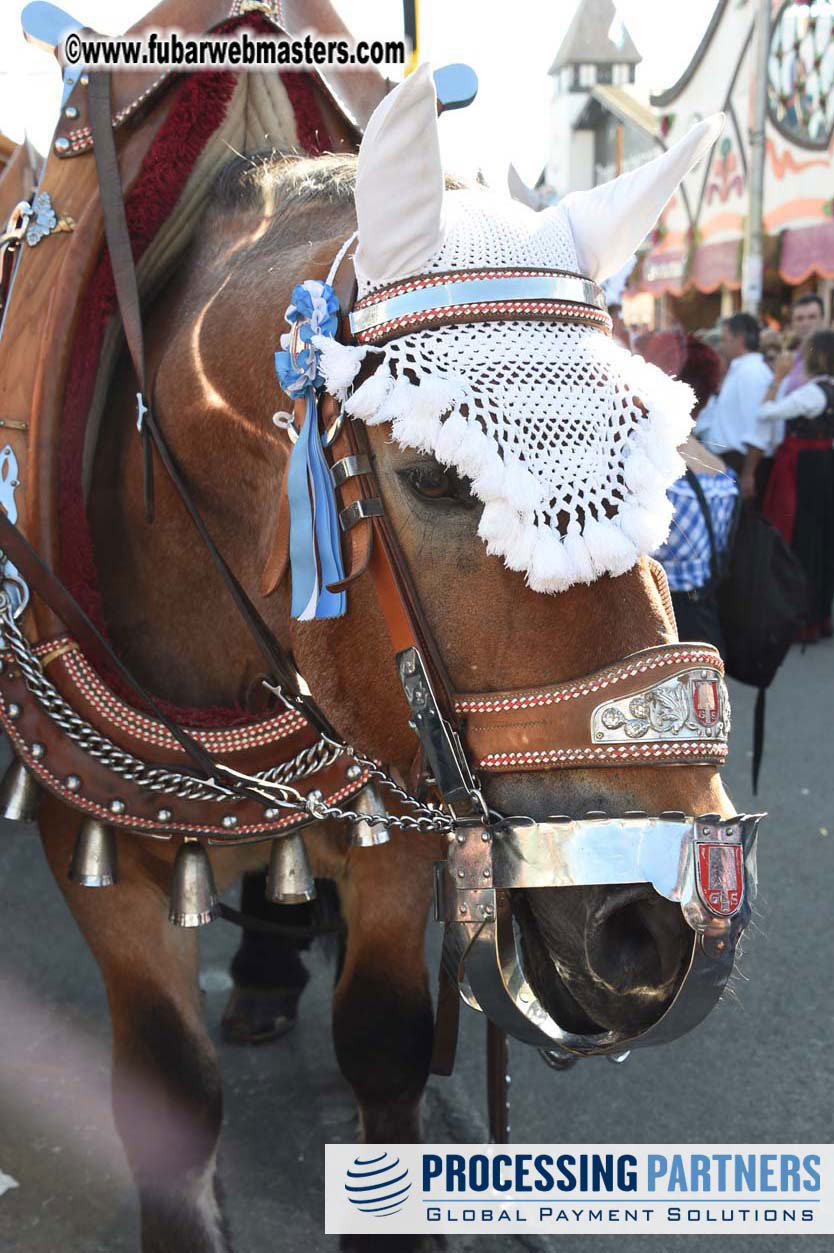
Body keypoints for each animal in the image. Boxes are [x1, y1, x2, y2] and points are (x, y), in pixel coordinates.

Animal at [30, 151, 736, 1247]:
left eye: (659, 457)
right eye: (438, 473)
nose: (660, 917)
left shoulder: (401, 815)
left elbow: (384, 1041)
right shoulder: (92, 847)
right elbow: (170, 1087)